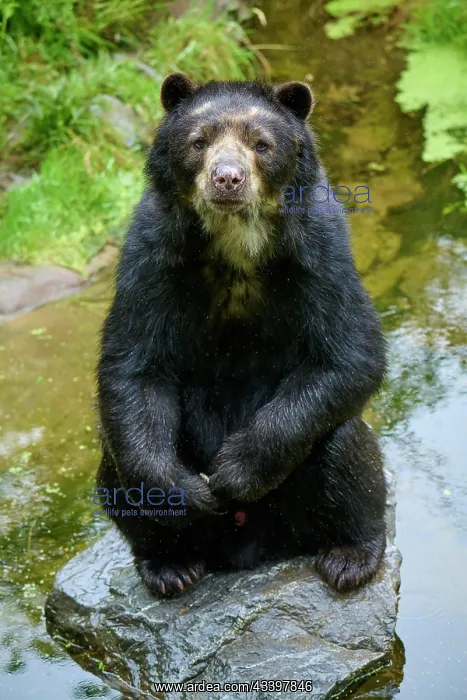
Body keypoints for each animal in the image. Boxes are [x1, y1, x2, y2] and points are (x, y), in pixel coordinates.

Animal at [96, 73, 387, 596]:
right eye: (199, 141)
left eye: (262, 144)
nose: (227, 178)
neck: (236, 245)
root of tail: (247, 549)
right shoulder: (150, 256)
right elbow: (134, 366)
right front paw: (189, 492)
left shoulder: (321, 252)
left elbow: (349, 352)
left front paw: (232, 474)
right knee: (116, 462)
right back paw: (171, 564)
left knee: (344, 444)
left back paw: (350, 555)